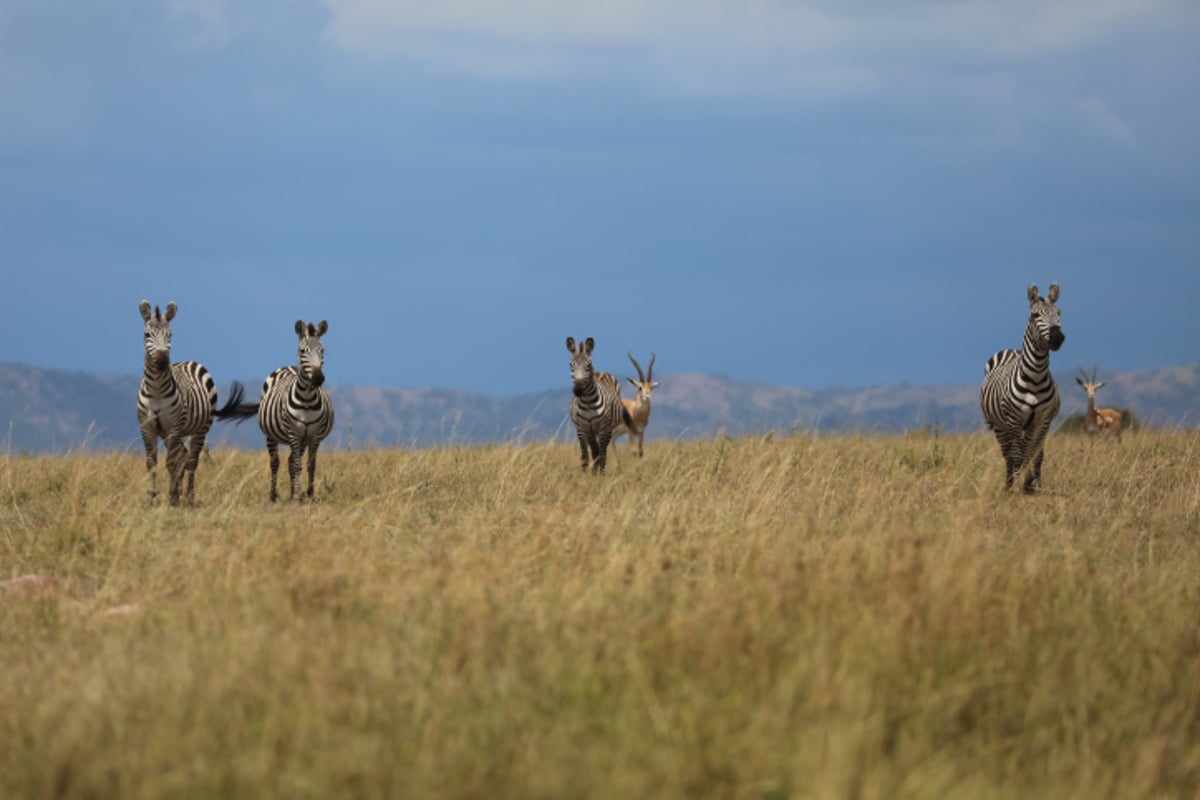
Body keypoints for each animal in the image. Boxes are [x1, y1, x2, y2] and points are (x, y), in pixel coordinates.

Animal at [137, 299, 244, 506]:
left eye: (169, 334)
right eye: (147, 334)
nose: (162, 362)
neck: (156, 391)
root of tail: (192, 361)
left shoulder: (173, 427)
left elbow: (171, 462)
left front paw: (171, 498)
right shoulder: (147, 427)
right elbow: (151, 463)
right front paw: (150, 497)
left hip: (200, 428)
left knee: (192, 460)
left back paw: (188, 495)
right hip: (175, 432)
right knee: (183, 456)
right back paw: (180, 492)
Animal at [230, 319, 336, 501]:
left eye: (322, 351)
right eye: (302, 351)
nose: (318, 378)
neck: (307, 399)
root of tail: (288, 366)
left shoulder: (314, 435)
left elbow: (311, 465)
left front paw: (309, 494)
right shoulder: (293, 432)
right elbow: (298, 465)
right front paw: (296, 497)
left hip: (303, 439)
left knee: (290, 461)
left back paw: (294, 491)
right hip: (272, 436)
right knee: (275, 462)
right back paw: (273, 495)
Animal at [571, 333, 638, 472]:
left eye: (588, 365)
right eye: (571, 365)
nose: (578, 390)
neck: (588, 402)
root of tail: (601, 373)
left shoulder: (603, 428)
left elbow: (601, 455)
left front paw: (599, 475)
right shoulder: (583, 428)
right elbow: (587, 456)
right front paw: (588, 475)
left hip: (608, 429)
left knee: (602, 452)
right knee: (593, 451)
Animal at [979, 281, 1065, 494]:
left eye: (1059, 312)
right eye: (1035, 315)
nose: (1058, 337)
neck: (1035, 377)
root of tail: (1011, 350)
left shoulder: (1043, 421)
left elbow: (1036, 454)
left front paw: (1034, 484)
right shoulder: (1014, 419)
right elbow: (1018, 455)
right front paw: (1016, 486)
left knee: (1027, 451)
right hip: (1001, 426)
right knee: (1008, 454)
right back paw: (1009, 483)